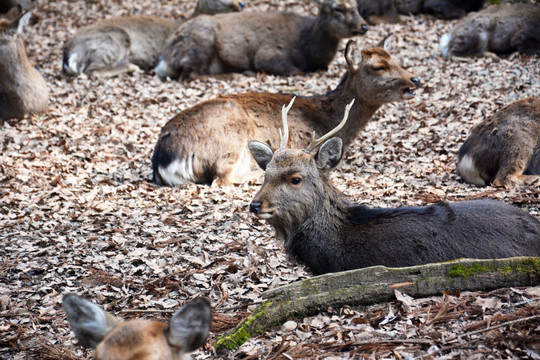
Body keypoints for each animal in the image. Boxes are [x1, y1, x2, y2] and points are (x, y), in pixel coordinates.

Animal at [150, 37, 420, 186]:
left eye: (397, 60)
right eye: (378, 67)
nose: (414, 80)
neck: (326, 117)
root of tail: (163, 158)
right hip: (231, 137)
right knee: (221, 178)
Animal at [154, 0, 370, 80]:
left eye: (356, 6)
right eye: (338, 8)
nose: (364, 26)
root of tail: (165, 58)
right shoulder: (269, 53)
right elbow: (296, 71)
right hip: (200, 45)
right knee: (190, 75)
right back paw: (239, 73)